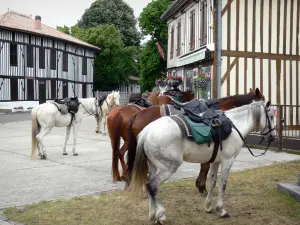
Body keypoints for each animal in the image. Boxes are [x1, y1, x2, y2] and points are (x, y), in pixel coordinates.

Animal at [125, 87, 266, 192]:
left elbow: (205, 164)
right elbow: (205, 166)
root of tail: (137, 114)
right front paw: (202, 187)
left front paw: (200, 185)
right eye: (263, 99)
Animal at [129, 101, 276, 224]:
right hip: (169, 168)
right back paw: (161, 214)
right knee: (152, 185)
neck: (235, 125)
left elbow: (213, 182)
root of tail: (148, 131)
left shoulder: (215, 162)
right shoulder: (227, 161)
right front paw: (221, 210)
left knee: (148, 185)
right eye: (271, 116)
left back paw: (152, 215)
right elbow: (223, 184)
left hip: (153, 166)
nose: (273, 137)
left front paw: (208, 206)